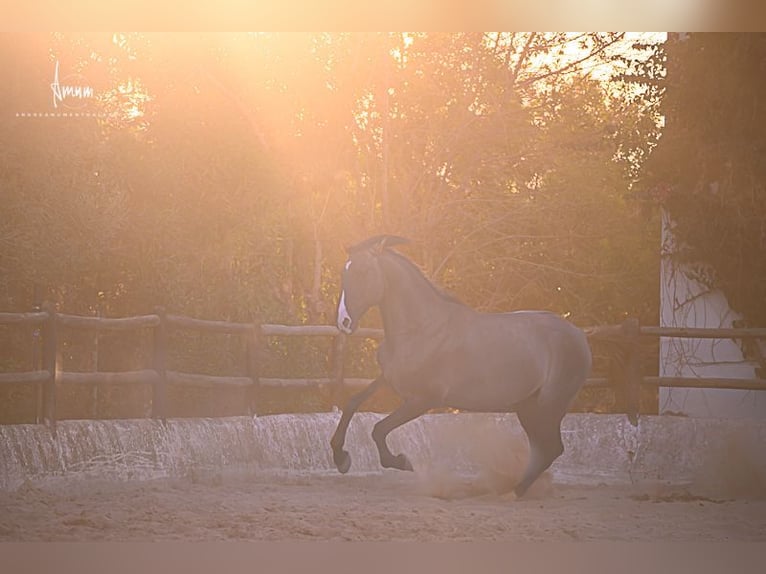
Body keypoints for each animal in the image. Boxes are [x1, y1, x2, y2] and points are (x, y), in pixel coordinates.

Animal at [330, 235, 592, 498]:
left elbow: (379, 429)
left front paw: (402, 461)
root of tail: (579, 336)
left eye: (363, 272)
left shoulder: (424, 400)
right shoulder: (390, 380)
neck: (421, 329)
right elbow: (353, 403)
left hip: (549, 406)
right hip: (528, 406)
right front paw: (341, 458)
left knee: (551, 448)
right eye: (344, 273)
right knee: (542, 449)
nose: (343, 322)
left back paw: (513, 491)